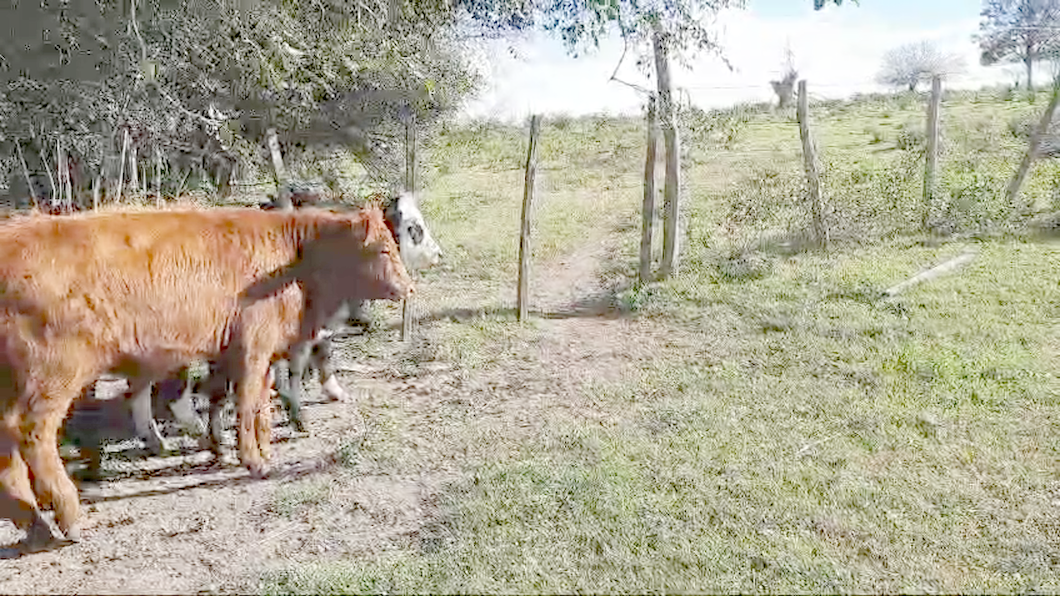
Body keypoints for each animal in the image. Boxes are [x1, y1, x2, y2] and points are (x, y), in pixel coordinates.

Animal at [0, 201, 411, 551]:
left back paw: (35, 525)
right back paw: (69, 518)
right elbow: (245, 402)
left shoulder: (250, 352)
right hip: (53, 377)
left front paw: (259, 449)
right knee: (31, 434)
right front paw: (254, 461)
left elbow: (257, 403)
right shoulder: (252, 347)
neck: (292, 259)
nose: (409, 286)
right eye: (383, 250)